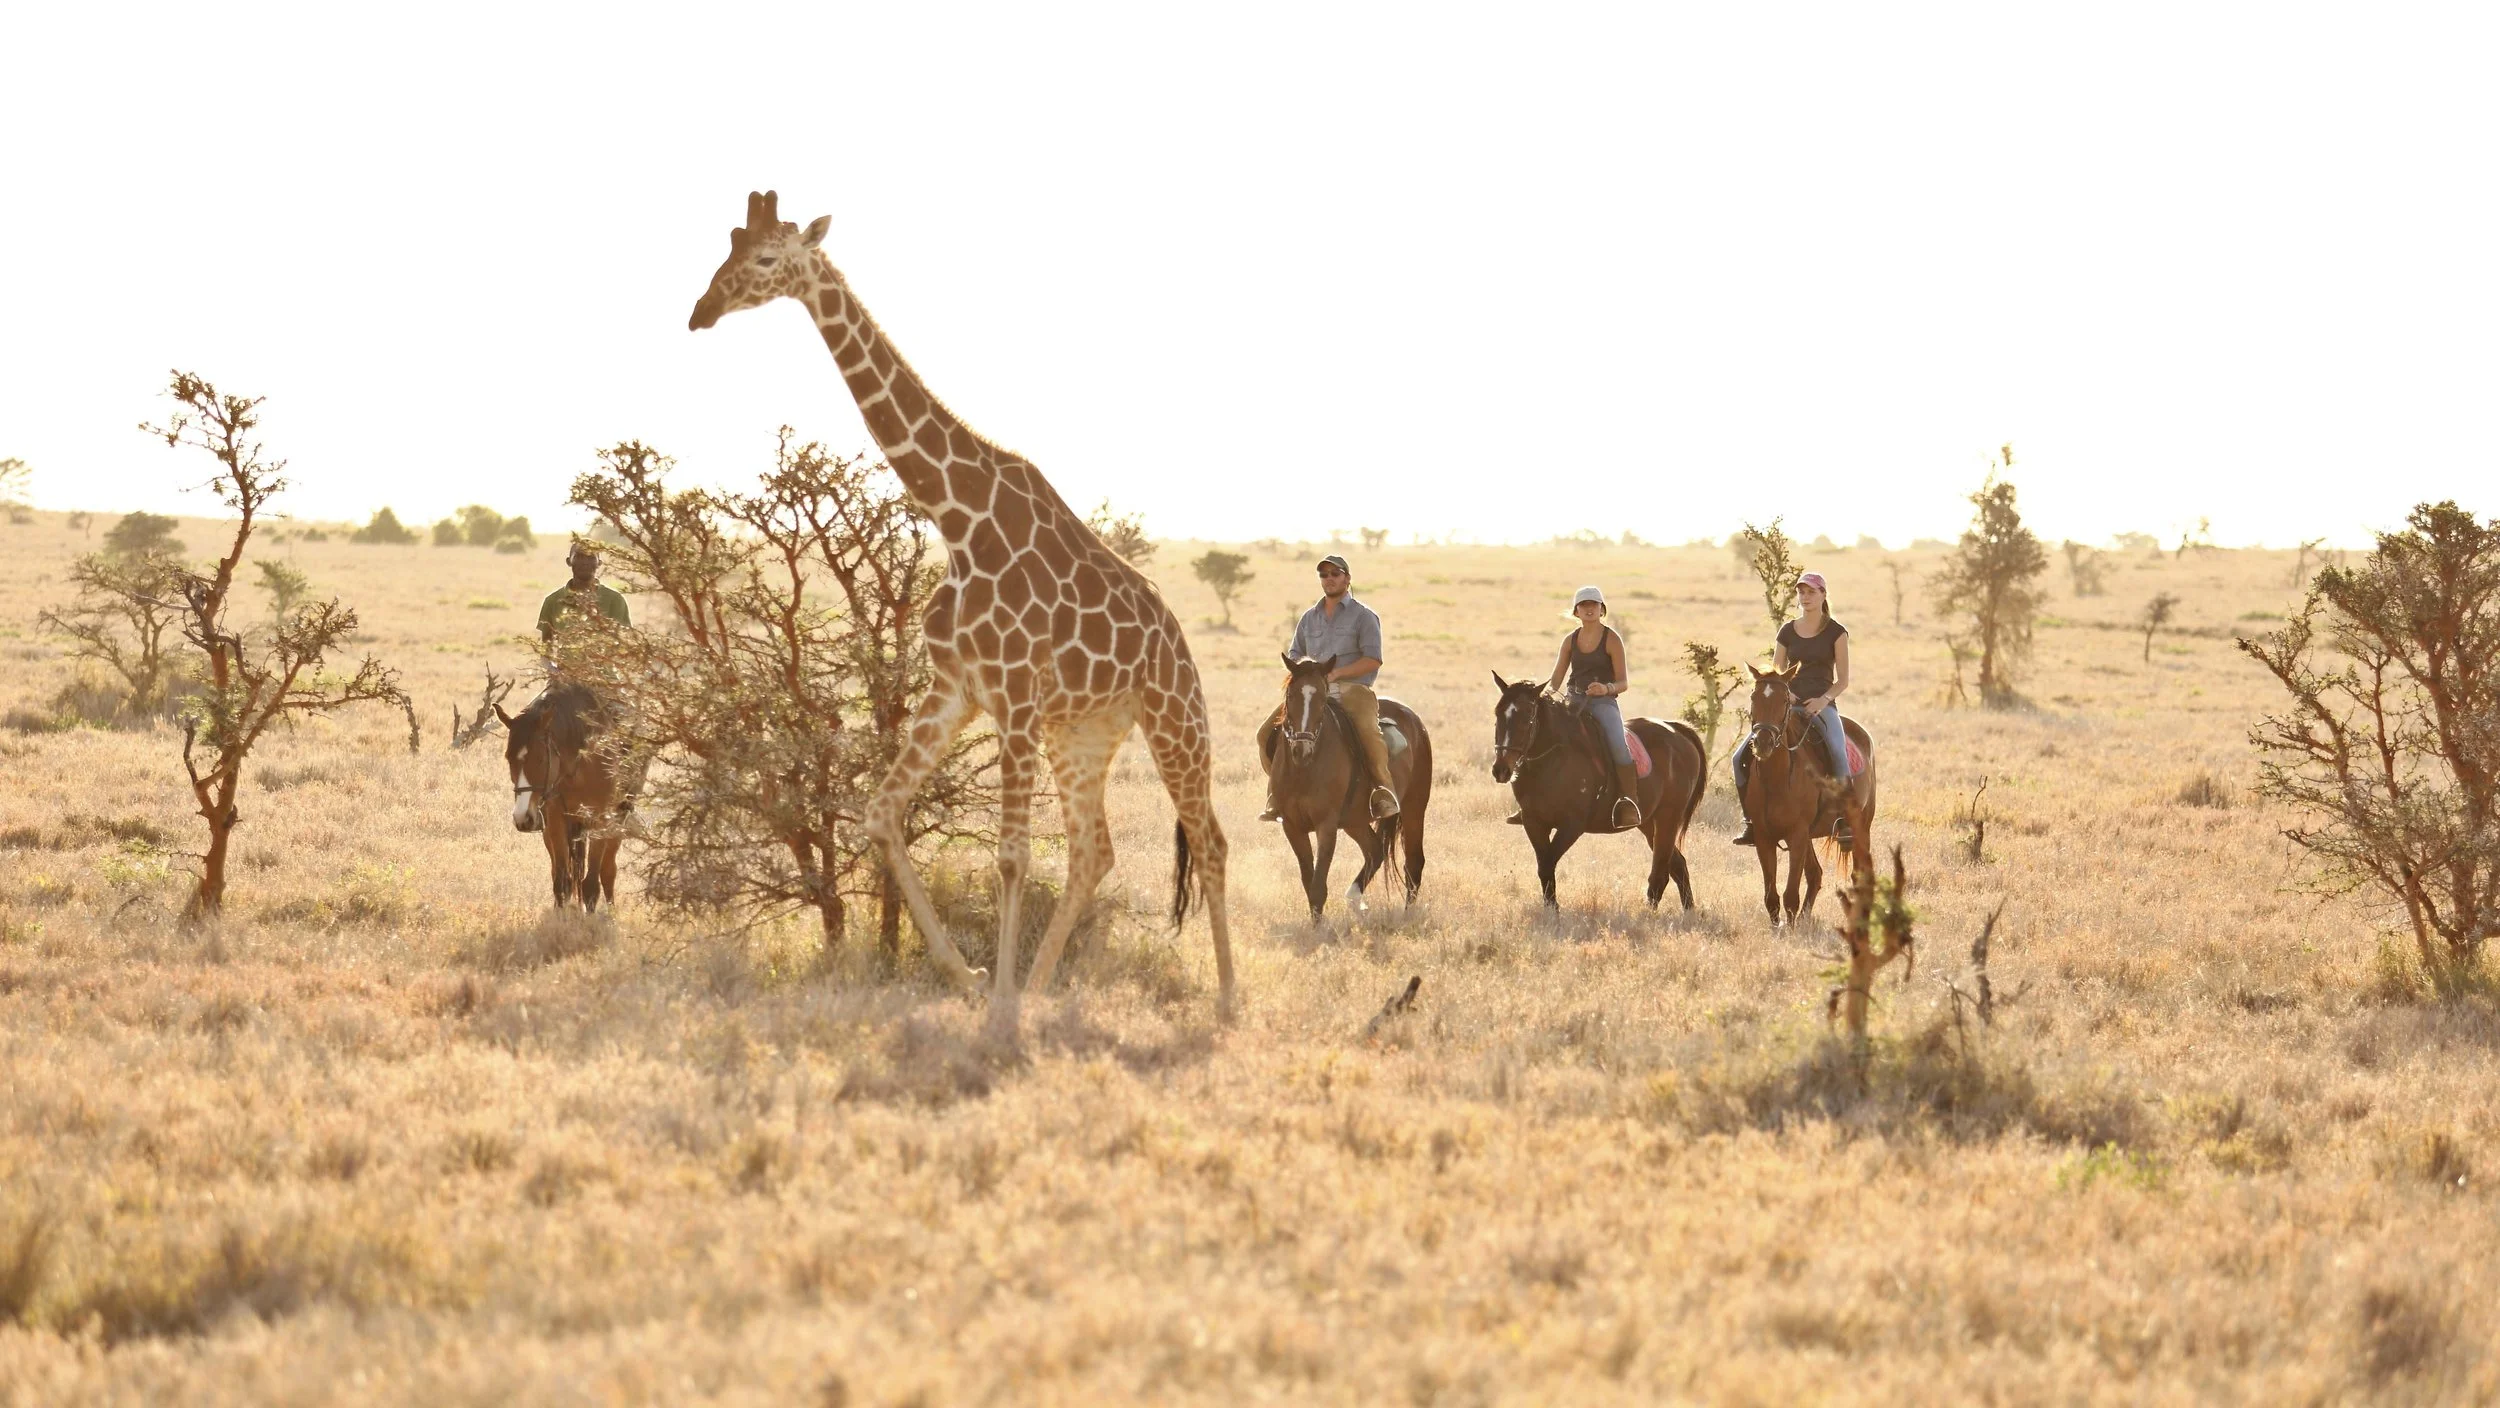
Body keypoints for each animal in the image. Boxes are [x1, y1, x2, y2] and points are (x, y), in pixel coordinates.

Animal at [499, 683, 628, 911]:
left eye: (541, 758)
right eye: (508, 758)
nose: (522, 817)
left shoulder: (599, 818)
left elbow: (591, 883)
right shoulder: (555, 819)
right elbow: (561, 881)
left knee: (608, 870)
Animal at [688, 190, 1233, 1035]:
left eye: (768, 259)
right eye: (727, 248)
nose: (701, 311)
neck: (955, 517)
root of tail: (1177, 641)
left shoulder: (1011, 693)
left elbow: (1010, 854)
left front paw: (998, 1007)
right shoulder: (958, 689)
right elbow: (881, 814)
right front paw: (975, 979)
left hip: (1174, 715)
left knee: (1209, 840)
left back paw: (1229, 1001)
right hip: (1083, 731)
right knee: (1094, 850)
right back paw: (1041, 985)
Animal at [1263, 655, 1432, 920]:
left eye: (1322, 699)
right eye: (1290, 695)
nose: (1302, 749)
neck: (1304, 770)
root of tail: (1415, 721)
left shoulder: (1327, 826)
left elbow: (1318, 886)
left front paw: (1319, 928)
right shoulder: (1292, 826)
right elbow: (1308, 881)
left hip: (1414, 809)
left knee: (1413, 863)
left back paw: (1406, 916)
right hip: (1355, 821)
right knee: (1375, 851)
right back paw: (1354, 897)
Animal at [1489, 674, 1708, 909]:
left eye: (1528, 716)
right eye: (1497, 713)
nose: (1501, 770)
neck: (1551, 761)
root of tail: (1676, 730)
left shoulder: (1572, 825)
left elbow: (1547, 863)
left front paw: (1553, 910)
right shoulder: (1534, 822)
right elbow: (1543, 866)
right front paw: (1551, 909)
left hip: (1668, 817)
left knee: (1661, 872)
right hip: (1649, 822)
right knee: (1678, 865)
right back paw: (1688, 911)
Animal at [1737, 661, 1878, 926]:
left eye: (1784, 700)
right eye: (1753, 697)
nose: (1763, 742)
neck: (1777, 779)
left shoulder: (1797, 835)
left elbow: (1790, 894)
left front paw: (1791, 929)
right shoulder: (1764, 837)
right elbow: (1771, 895)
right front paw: (1780, 926)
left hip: (1861, 826)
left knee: (1861, 874)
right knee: (1816, 874)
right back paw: (1805, 918)